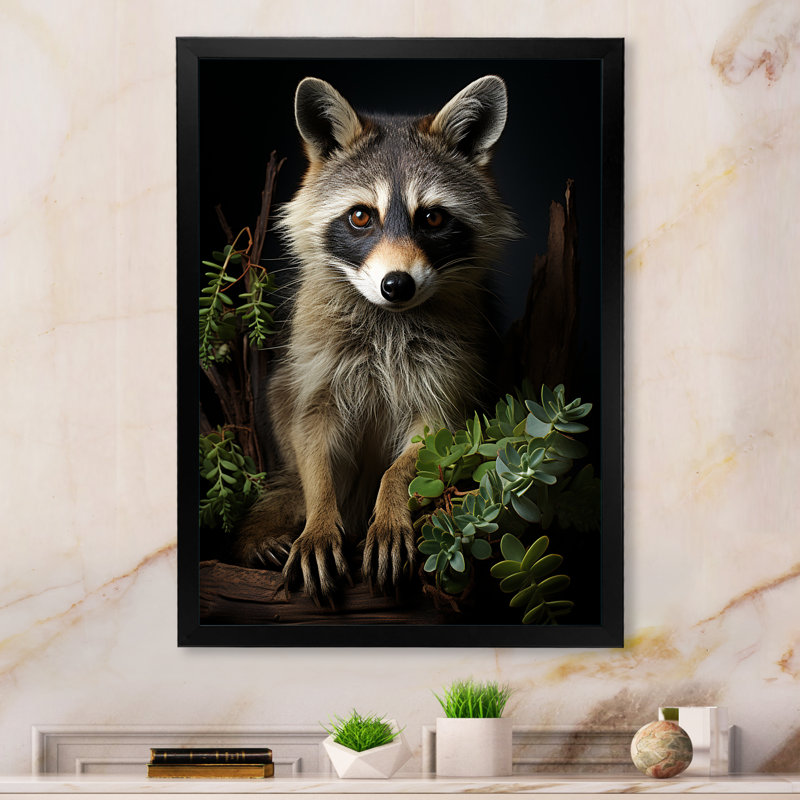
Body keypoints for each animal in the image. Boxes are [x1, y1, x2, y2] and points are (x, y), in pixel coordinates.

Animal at [235, 75, 517, 602]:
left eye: (432, 218)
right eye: (362, 216)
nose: (397, 284)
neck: (389, 317)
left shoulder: (451, 371)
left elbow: (426, 447)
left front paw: (390, 507)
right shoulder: (315, 365)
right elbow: (311, 440)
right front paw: (320, 518)